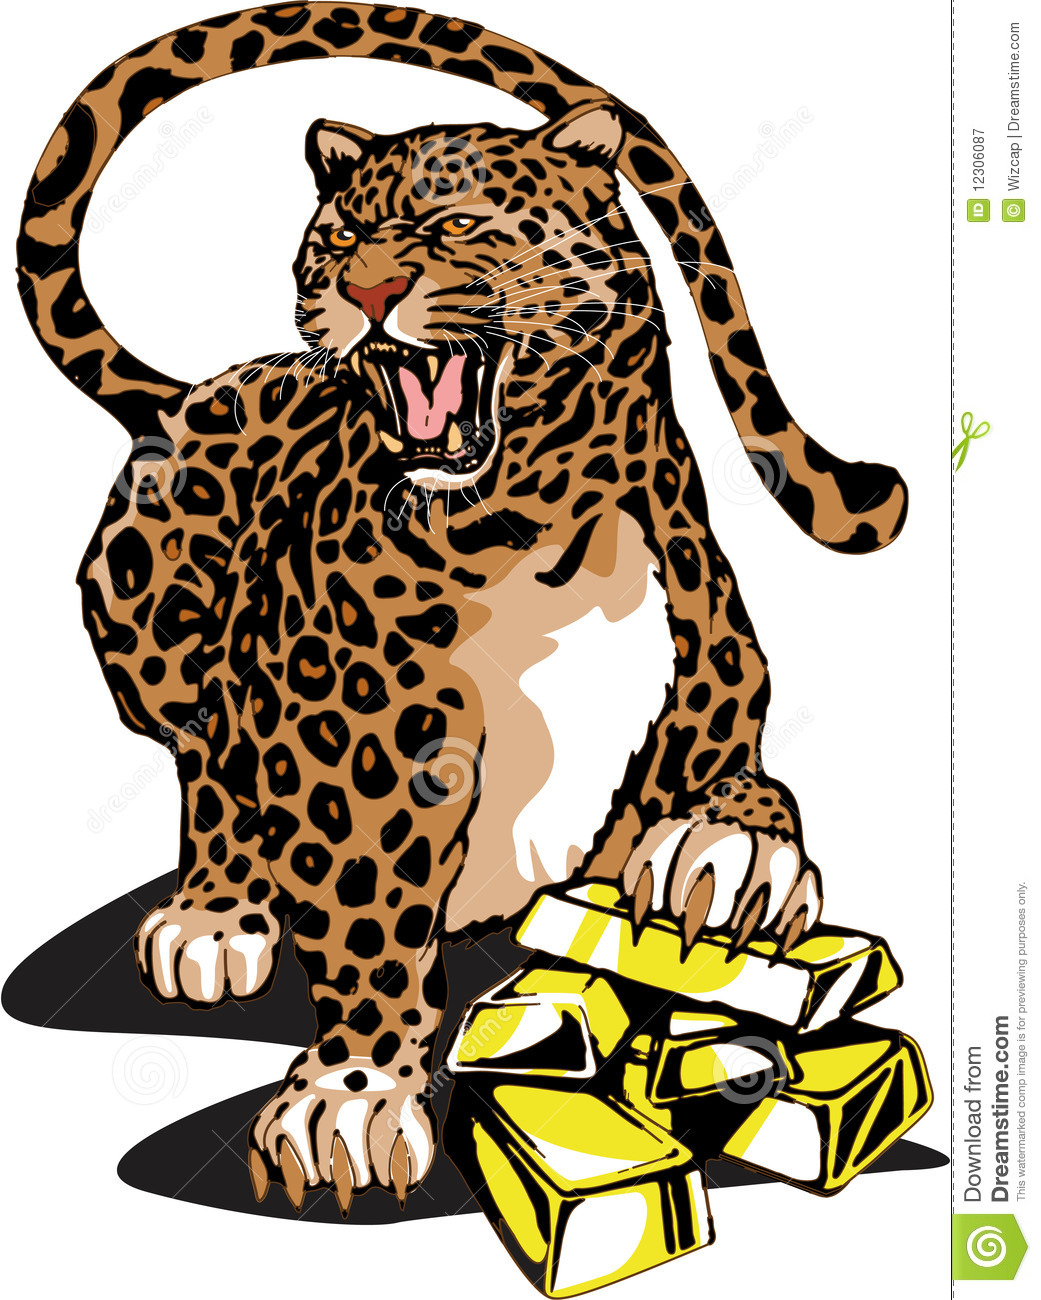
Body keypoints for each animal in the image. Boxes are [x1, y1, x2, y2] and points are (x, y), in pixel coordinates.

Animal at [18, 3, 908, 1216]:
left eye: (455, 226)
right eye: (337, 239)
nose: (363, 295)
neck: (534, 533)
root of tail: (193, 386)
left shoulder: (725, 679)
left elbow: (748, 782)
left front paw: (721, 860)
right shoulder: (352, 756)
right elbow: (366, 924)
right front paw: (350, 1095)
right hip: (149, 612)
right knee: (206, 759)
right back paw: (215, 913)